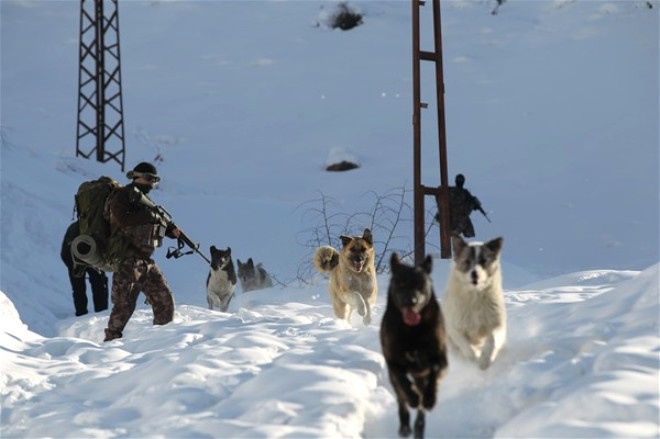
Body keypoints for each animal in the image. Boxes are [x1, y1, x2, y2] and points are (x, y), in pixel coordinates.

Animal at [378, 254, 446, 439]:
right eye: (401, 284)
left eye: (420, 284)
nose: (411, 301)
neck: (412, 330)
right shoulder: (393, 362)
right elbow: (403, 380)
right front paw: (413, 397)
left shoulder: (440, 358)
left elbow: (435, 371)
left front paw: (429, 398)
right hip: (395, 380)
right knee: (401, 399)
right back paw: (405, 426)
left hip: (421, 376)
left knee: (421, 409)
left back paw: (419, 426)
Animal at [440, 235, 508, 370]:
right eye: (467, 261)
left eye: (483, 261)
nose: (474, 273)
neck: (475, 296)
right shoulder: (455, 329)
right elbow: (466, 347)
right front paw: (475, 358)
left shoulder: (497, 323)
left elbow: (492, 339)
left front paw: (484, 360)